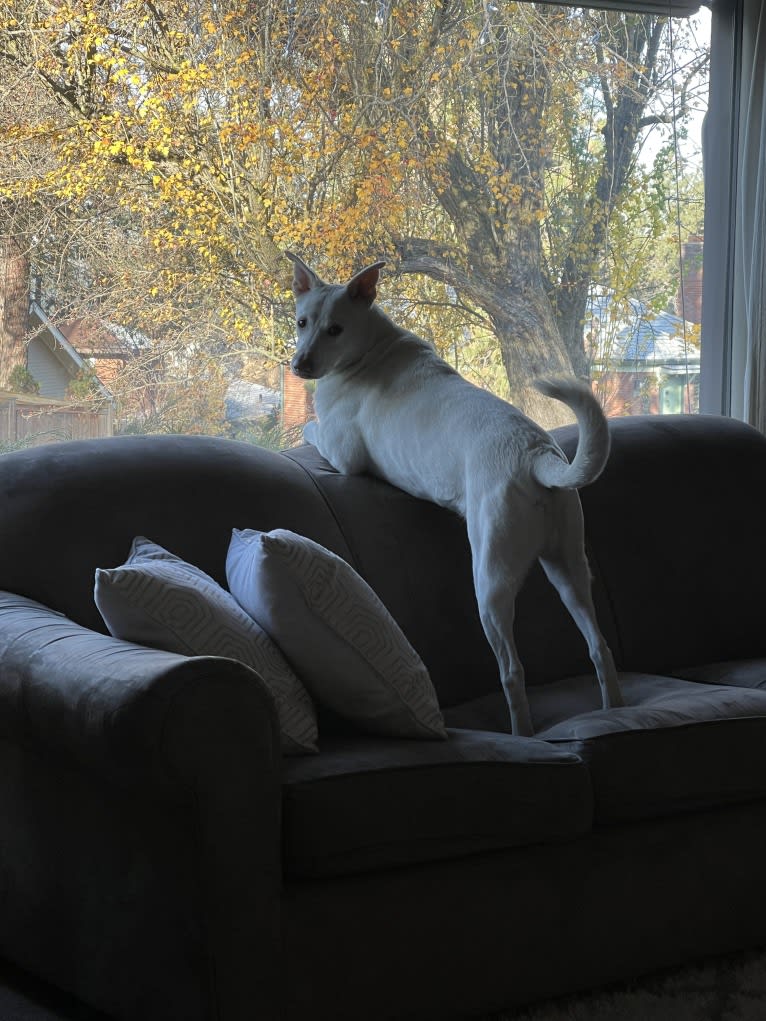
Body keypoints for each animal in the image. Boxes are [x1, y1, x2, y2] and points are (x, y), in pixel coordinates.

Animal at [288, 253, 625, 735]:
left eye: (335, 328)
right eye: (302, 322)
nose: (300, 365)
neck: (370, 347)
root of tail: (535, 455)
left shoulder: (343, 453)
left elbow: (311, 431)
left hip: (491, 577)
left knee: (512, 669)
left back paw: (522, 733)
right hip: (570, 566)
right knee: (599, 646)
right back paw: (613, 709)